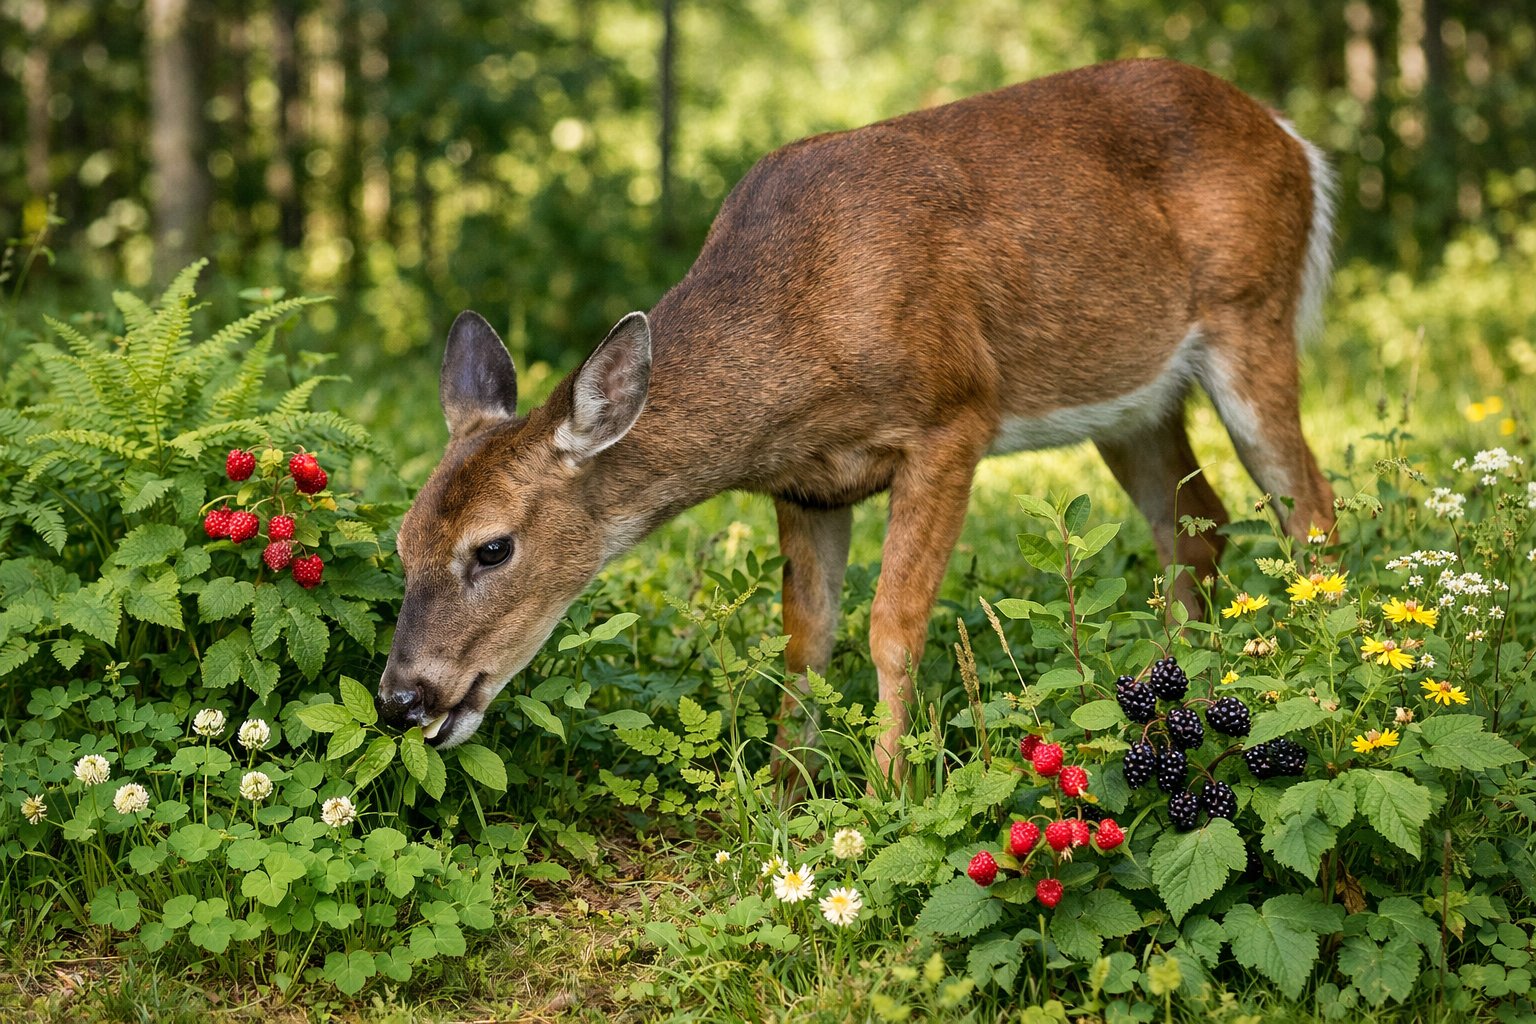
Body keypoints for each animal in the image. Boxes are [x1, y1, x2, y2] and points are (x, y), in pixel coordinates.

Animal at [375, 59, 1338, 784]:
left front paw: (884, 795)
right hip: (1134, 399)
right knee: (1198, 525)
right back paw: (1174, 698)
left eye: (493, 548)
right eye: (403, 541)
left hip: (1253, 313)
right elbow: (806, 641)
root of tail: (1293, 138)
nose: (399, 699)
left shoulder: (955, 415)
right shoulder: (806, 485)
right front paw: (784, 793)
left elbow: (893, 629)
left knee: (1310, 507)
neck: (802, 330)